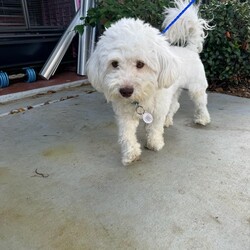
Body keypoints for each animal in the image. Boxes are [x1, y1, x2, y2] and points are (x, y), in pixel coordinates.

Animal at [87, 0, 212, 166]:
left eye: (140, 64)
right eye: (114, 64)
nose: (125, 91)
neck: (140, 98)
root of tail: (190, 49)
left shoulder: (157, 110)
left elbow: (155, 127)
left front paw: (154, 143)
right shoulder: (125, 115)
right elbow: (126, 134)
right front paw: (131, 153)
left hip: (196, 87)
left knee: (200, 102)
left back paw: (202, 118)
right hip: (173, 90)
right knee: (175, 105)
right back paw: (168, 120)